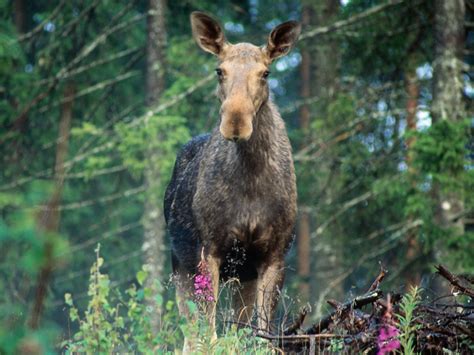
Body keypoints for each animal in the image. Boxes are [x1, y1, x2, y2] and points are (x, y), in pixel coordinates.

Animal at [164, 10, 300, 348]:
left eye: (265, 73)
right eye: (219, 70)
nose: (235, 122)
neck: (251, 180)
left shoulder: (273, 254)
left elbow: (263, 334)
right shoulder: (208, 249)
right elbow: (209, 334)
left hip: (242, 276)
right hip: (180, 265)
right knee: (189, 335)